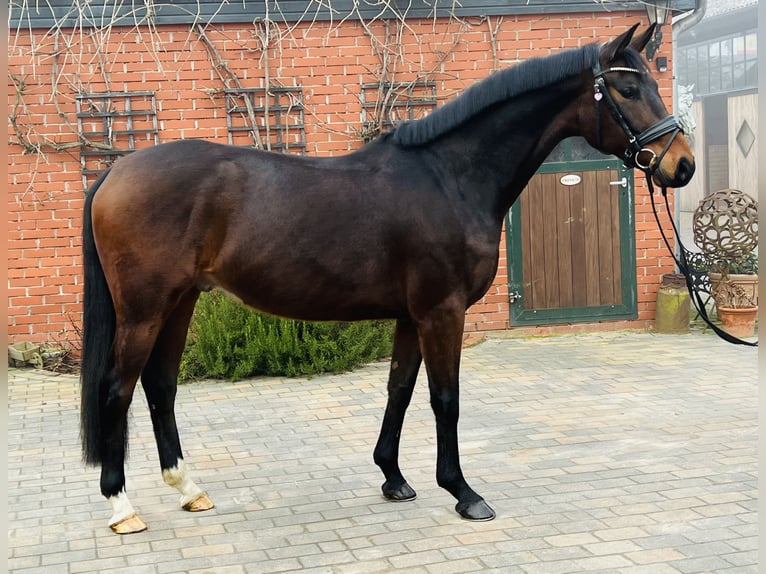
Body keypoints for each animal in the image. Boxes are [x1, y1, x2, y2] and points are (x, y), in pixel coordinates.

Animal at [79, 23, 696, 536]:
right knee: (117, 389)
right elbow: (445, 399)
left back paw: (189, 489)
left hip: (181, 301)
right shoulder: (442, 311)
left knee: (160, 387)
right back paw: (120, 506)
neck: (450, 177)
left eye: (650, 81)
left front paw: (393, 478)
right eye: (626, 90)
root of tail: (115, 169)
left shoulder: (409, 314)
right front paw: (464, 492)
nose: (681, 165)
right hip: (144, 308)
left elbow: (399, 389)